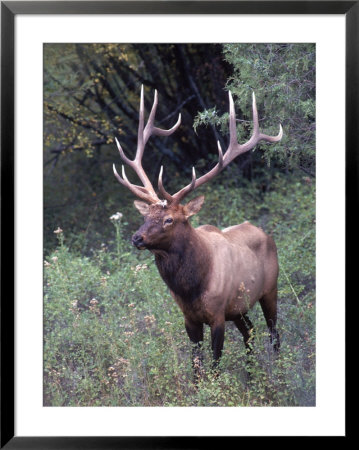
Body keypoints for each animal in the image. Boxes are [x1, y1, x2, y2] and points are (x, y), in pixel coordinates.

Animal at [112, 86, 284, 382]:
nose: (137, 238)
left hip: (269, 288)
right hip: (239, 308)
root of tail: (265, 233)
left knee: (274, 333)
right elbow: (196, 367)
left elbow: (214, 367)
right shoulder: (189, 318)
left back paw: (279, 372)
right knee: (250, 331)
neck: (191, 286)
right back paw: (252, 376)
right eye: (145, 216)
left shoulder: (217, 315)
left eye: (169, 219)